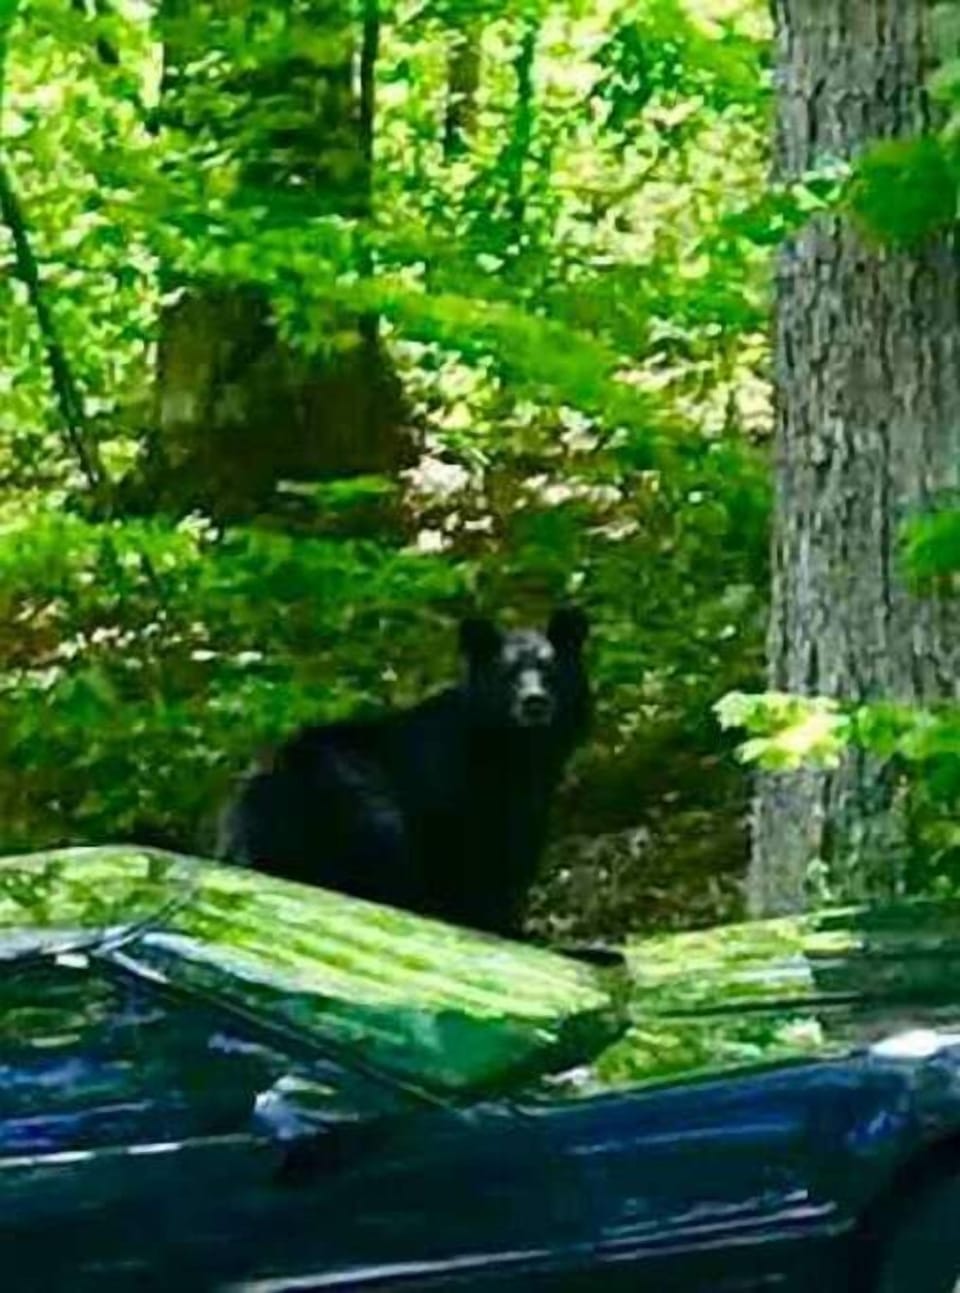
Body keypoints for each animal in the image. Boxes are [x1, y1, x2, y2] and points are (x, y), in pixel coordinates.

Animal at [216, 608, 590, 938]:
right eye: (508, 674)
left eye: (551, 670)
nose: (534, 701)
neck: (514, 748)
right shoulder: (448, 773)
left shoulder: (528, 794)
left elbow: (510, 853)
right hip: (340, 788)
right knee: (384, 833)